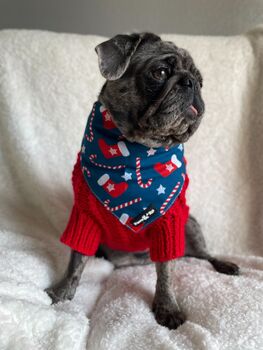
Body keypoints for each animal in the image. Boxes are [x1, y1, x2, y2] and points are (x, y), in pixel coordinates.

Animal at [45, 31, 239, 330]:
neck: (136, 150)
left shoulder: (168, 223)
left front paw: (167, 307)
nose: (191, 83)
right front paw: (62, 293)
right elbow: (75, 260)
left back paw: (224, 264)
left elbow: (166, 272)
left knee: (202, 255)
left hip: (191, 225)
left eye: (201, 81)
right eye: (160, 72)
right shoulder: (84, 217)